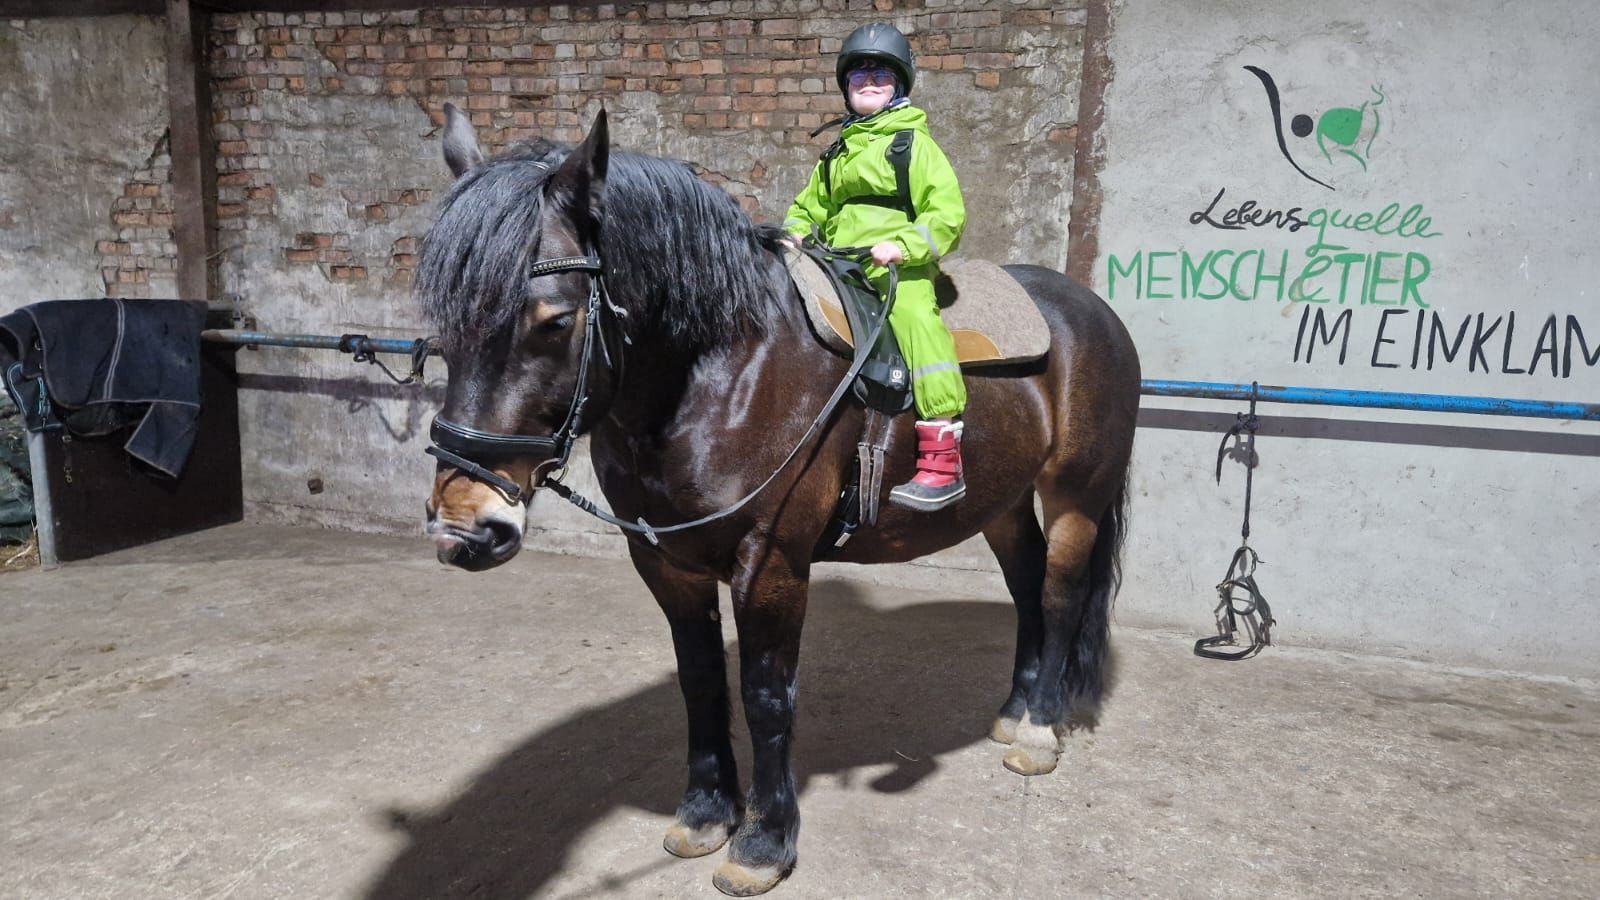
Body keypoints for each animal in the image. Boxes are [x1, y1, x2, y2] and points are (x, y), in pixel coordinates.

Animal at [418, 105, 1141, 896]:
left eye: (552, 320)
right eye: (443, 325)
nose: (465, 526)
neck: (723, 371)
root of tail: (1093, 313)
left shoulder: (771, 564)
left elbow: (766, 696)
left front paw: (764, 842)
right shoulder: (664, 561)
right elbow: (702, 681)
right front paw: (706, 812)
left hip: (1076, 497)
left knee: (1063, 593)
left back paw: (1039, 731)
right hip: (1002, 504)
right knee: (1027, 588)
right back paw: (1014, 710)